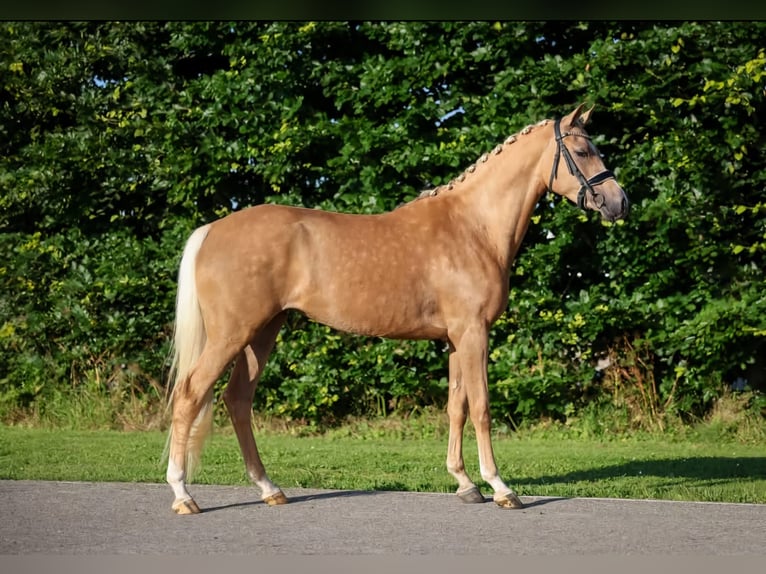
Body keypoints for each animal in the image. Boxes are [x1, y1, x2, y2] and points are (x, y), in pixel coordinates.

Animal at [166, 104, 632, 516]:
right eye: (584, 151)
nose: (619, 202)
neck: (473, 227)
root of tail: (211, 230)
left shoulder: (455, 339)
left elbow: (457, 407)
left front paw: (465, 484)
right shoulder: (473, 333)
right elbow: (482, 408)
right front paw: (501, 487)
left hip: (262, 332)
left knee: (237, 399)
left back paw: (269, 489)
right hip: (233, 334)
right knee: (190, 393)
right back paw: (183, 494)